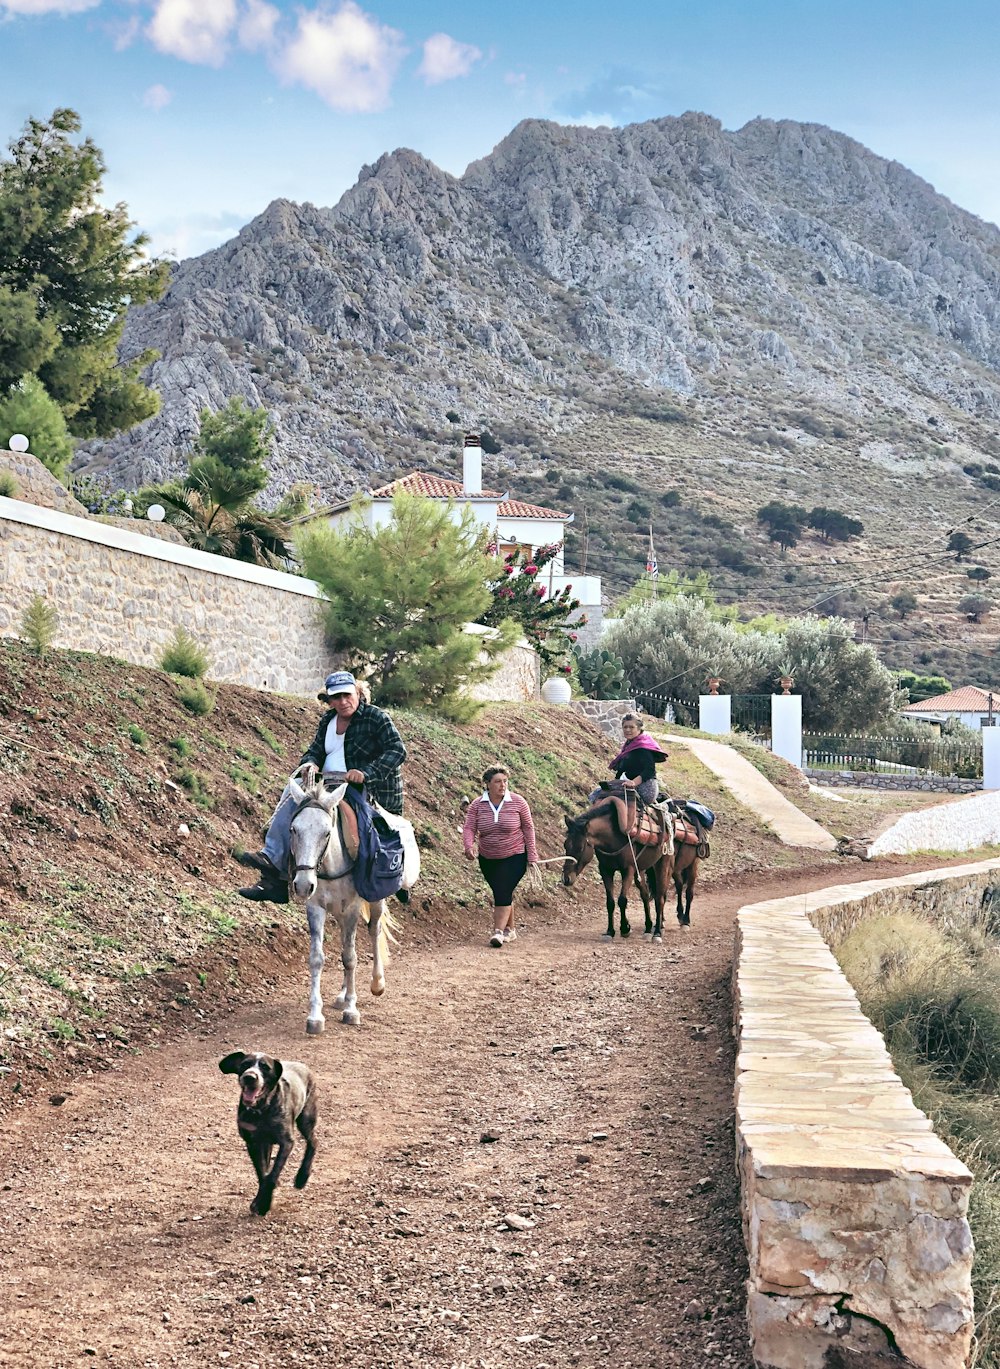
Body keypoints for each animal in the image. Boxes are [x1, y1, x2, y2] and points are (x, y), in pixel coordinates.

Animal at [286, 777, 419, 1029]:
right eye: (293, 829)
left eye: (326, 833)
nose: (303, 885)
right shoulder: (316, 907)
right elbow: (318, 958)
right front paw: (315, 1016)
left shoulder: (352, 908)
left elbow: (350, 958)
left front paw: (351, 1009)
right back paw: (341, 994)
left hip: (374, 902)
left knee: (374, 930)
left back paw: (377, 983)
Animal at [556, 799, 673, 947]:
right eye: (565, 845)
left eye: (580, 848)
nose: (566, 878)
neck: (613, 837)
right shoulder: (606, 870)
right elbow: (610, 902)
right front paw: (610, 932)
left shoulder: (628, 870)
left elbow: (622, 900)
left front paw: (625, 928)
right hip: (640, 869)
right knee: (645, 895)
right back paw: (647, 929)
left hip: (662, 864)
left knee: (659, 898)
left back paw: (657, 932)